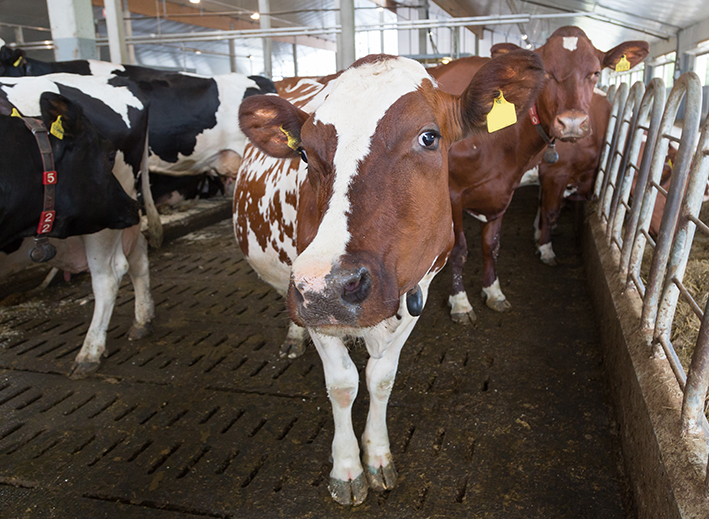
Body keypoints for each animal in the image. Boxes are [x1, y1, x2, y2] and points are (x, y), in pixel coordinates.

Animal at [232, 50, 544, 506]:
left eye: (429, 137)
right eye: (304, 153)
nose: (330, 285)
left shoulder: (419, 289)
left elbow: (381, 379)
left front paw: (377, 456)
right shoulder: (312, 300)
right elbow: (342, 384)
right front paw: (346, 468)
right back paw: (293, 337)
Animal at [426, 28, 648, 322]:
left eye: (595, 72)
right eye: (547, 74)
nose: (573, 123)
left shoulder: (503, 188)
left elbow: (492, 245)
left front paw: (494, 292)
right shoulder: (455, 193)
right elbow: (459, 250)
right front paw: (460, 302)